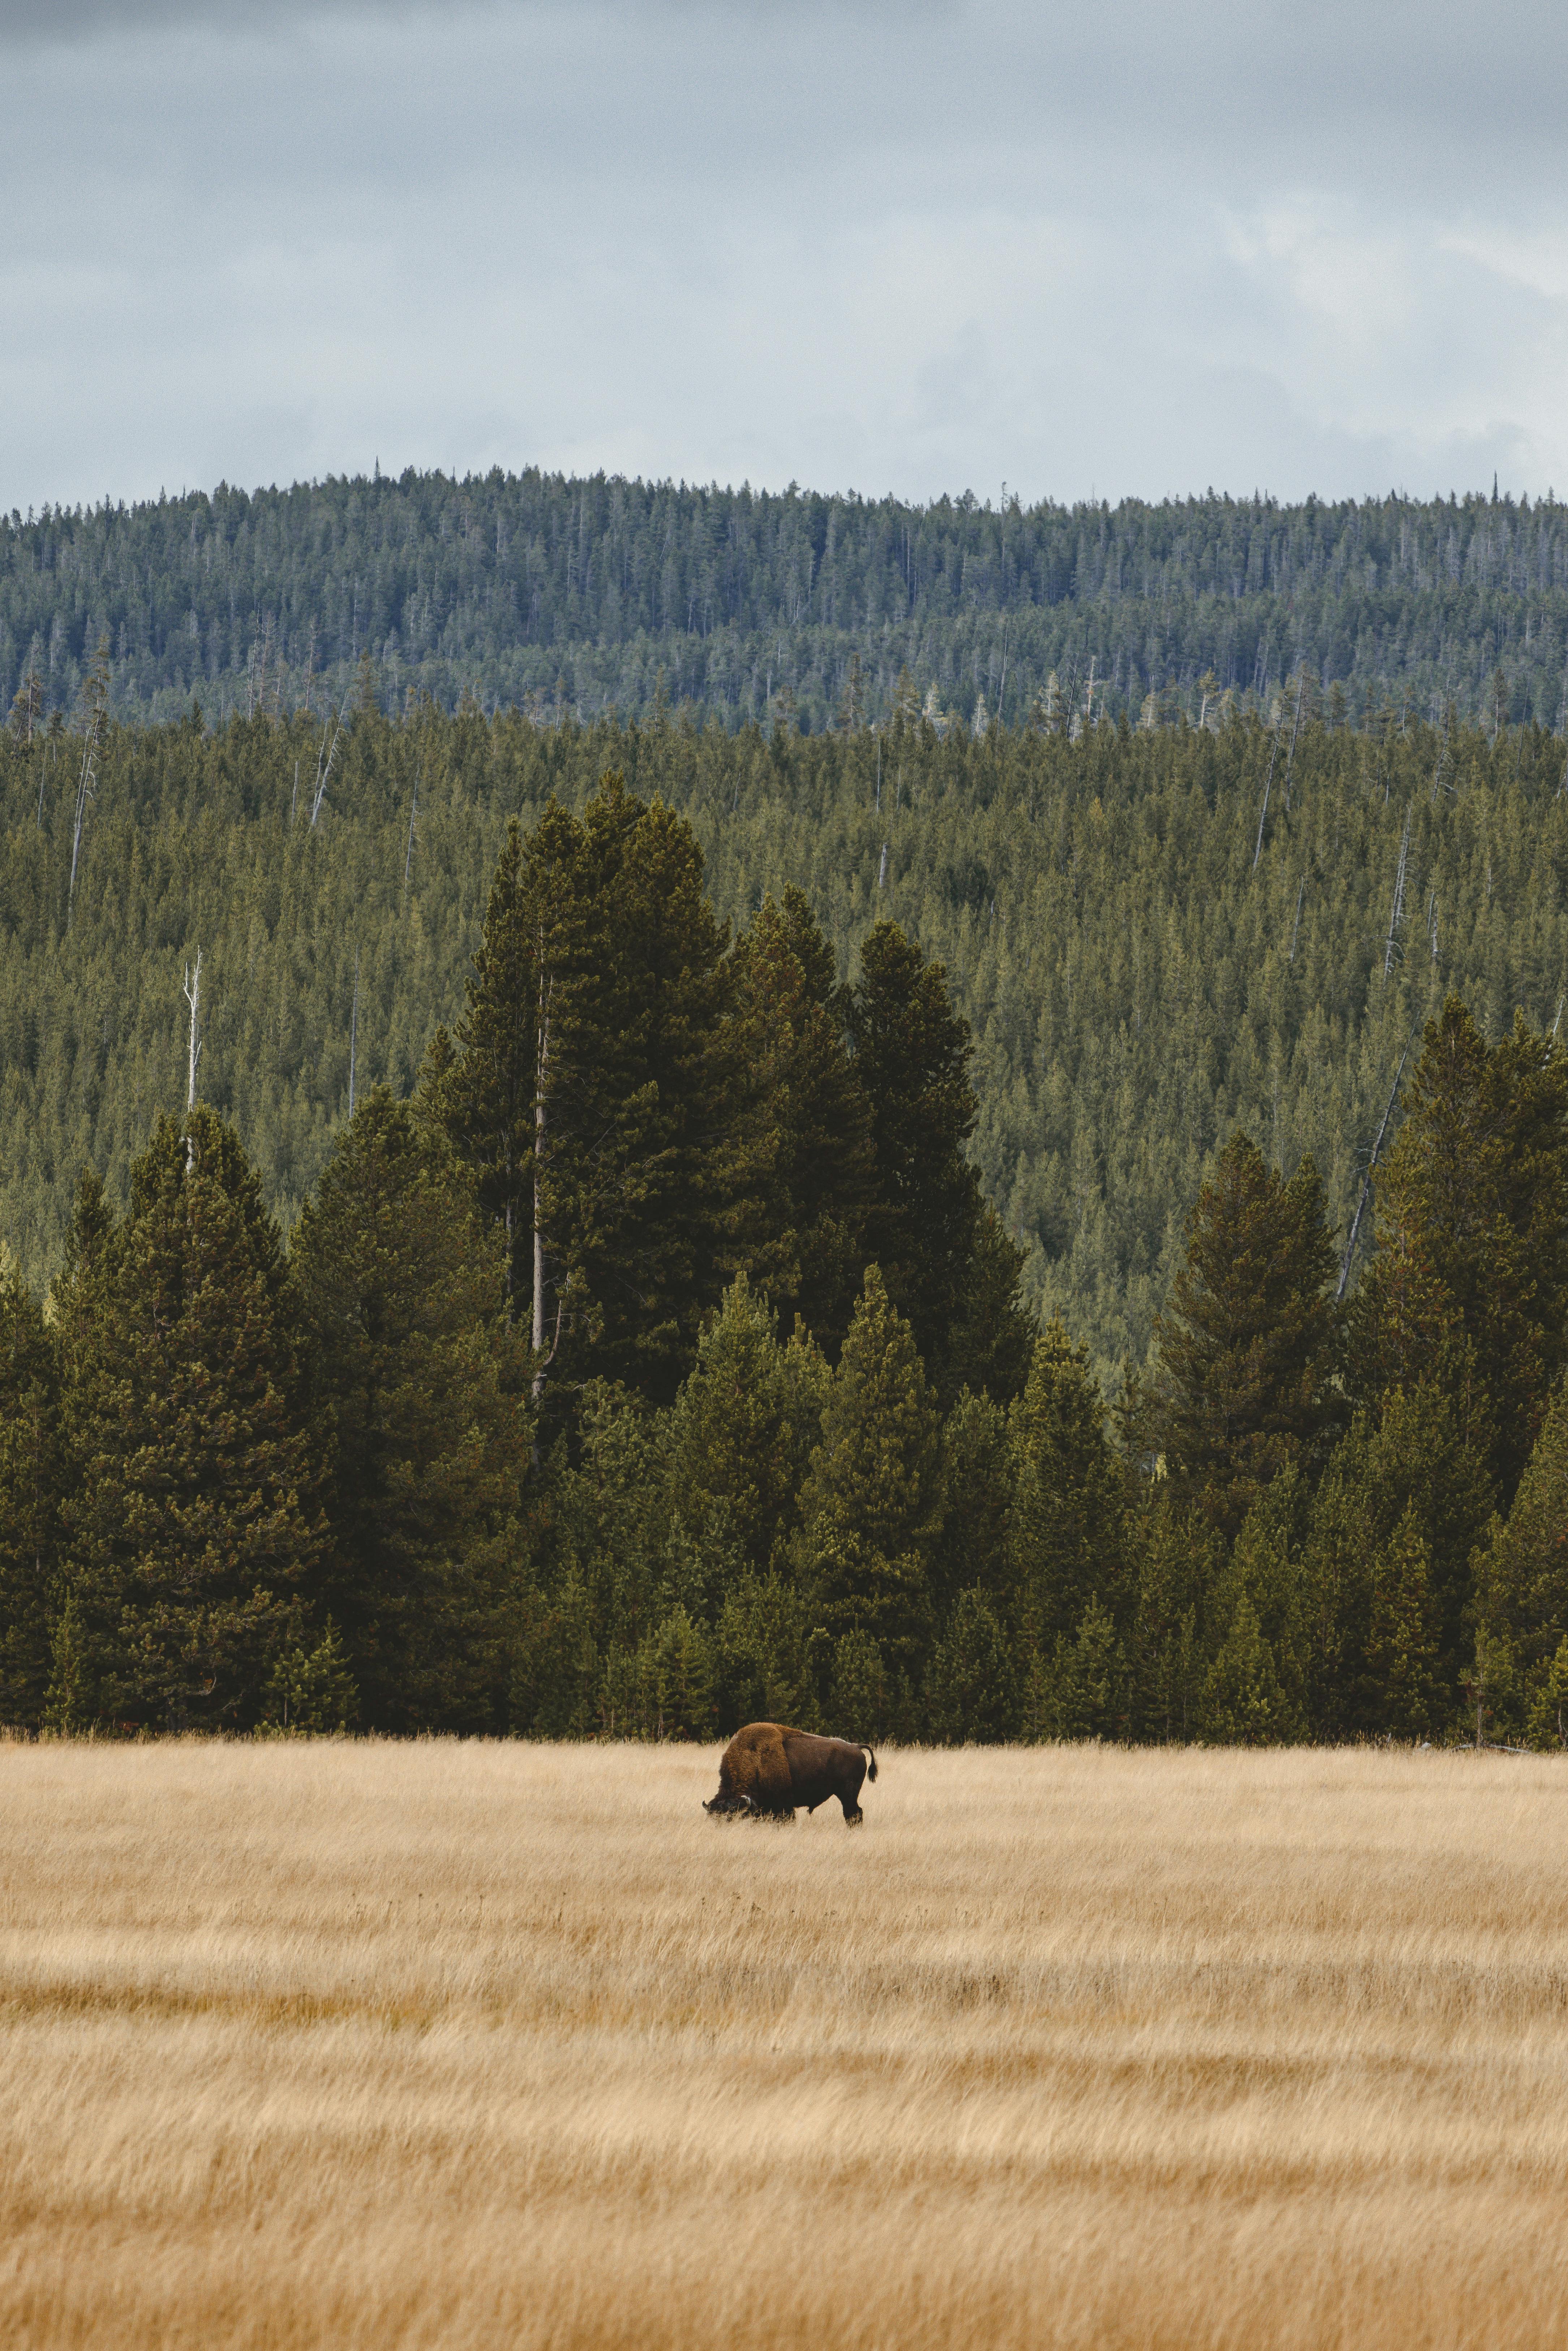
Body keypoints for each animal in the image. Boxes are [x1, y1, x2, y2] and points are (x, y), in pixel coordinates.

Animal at [704, 1721, 878, 1824]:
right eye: (712, 1816)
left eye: (731, 1816)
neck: (754, 1761)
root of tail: (856, 1747)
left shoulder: (783, 1805)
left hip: (848, 1793)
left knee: (853, 1813)